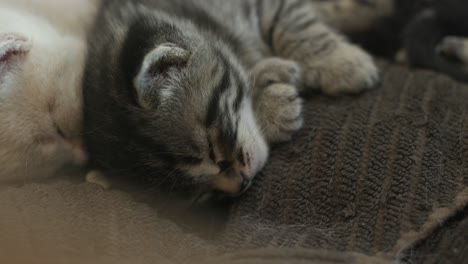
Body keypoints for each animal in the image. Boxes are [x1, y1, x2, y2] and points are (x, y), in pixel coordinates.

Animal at [83, 0, 380, 194]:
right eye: (193, 190)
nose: (240, 184)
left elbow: (296, 25)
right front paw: (272, 102)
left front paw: (343, 63)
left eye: (211, 148)